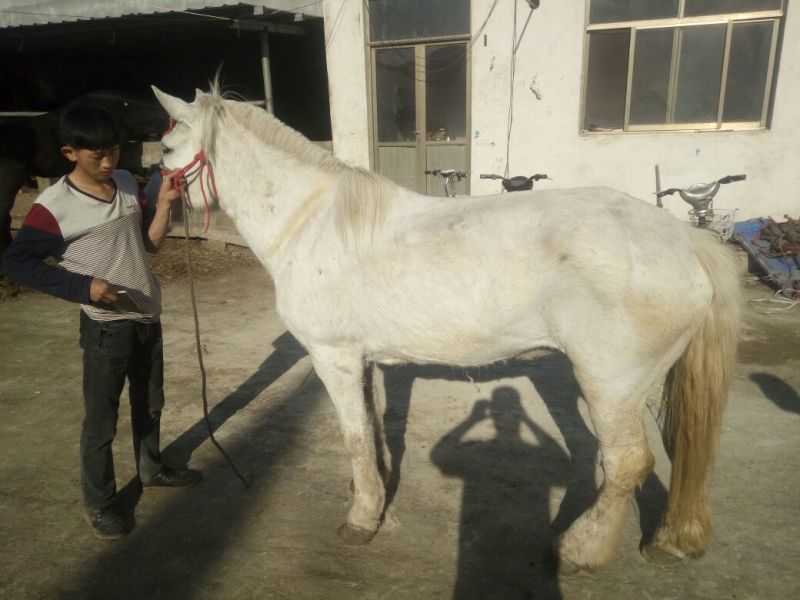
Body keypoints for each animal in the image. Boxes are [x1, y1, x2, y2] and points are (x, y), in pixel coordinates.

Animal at [152, 84, 741, 574]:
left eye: (164, 150)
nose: (163, 211)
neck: (311, 224)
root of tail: (684, 241)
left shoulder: (332, 356)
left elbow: (353, 436)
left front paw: (361, 519)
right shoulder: (362, 360)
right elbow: (372, 431)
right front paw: (374, 495)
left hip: (611, 383)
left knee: (626, 465)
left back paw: (580, 551)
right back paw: (666, 540)